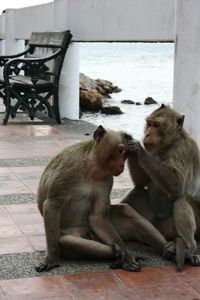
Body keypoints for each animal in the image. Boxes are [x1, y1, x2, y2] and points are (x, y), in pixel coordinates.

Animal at [34, 123, 173, 272]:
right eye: (120, 151)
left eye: (126, 154)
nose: (121, 165)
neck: (91, 168)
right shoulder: (67, 168)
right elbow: (52, 205)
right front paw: (51, 259)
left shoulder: (107, 179)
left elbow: (98, 216)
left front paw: (125, 253)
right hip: (71, 232)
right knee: (67, 241)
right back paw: (117, 254)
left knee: (125, 211)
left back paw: (162, 250)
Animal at [121, 104, 200, 270]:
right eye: (149, 124)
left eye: (156, 125)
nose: (147, 134)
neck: (169, 145)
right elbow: (141, 182)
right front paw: (131, 144)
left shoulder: (184, 149)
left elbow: (177, 184)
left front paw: (139, 149)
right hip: (155, 223)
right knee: (137, 192)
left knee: (181, 199)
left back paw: (188, 249)